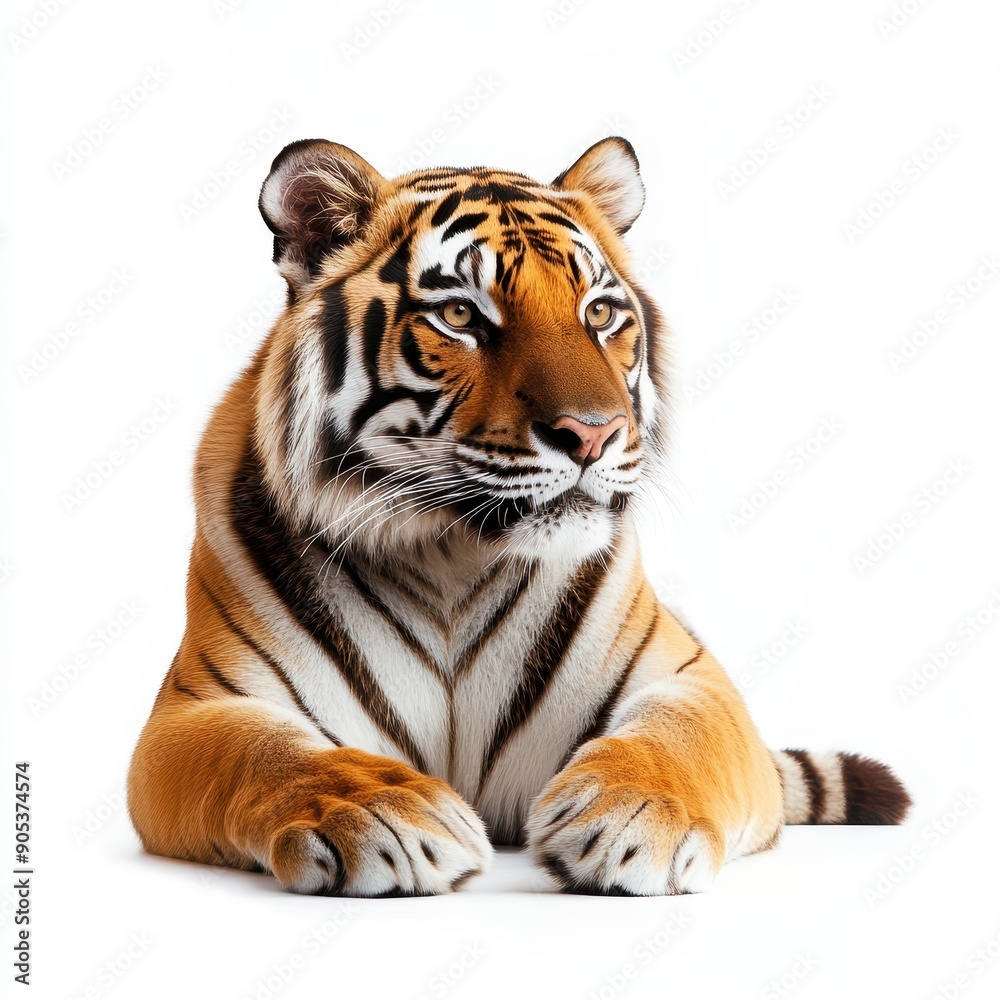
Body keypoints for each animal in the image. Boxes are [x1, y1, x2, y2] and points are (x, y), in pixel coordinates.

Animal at [126, 136, 911, 897]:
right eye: (461, 316)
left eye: (599, 313)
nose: (593, 434)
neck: (450, 558)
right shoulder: (195, 712)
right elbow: (272, 755)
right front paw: (385, 812)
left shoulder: (692, 680)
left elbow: (680, 740)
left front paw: (630, 814)